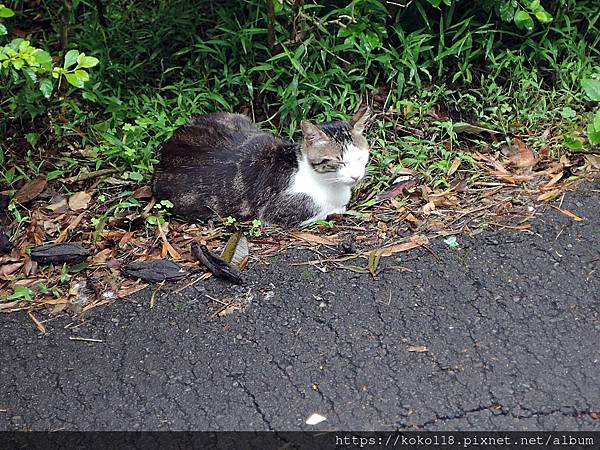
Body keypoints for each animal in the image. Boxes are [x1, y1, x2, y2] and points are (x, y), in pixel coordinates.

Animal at [151, 107, 370, 227]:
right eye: (339, 161)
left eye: (360, 158)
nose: (355, 177)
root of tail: (167, 151)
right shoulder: (278, 210)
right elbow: (330, 209)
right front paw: (338, 208)